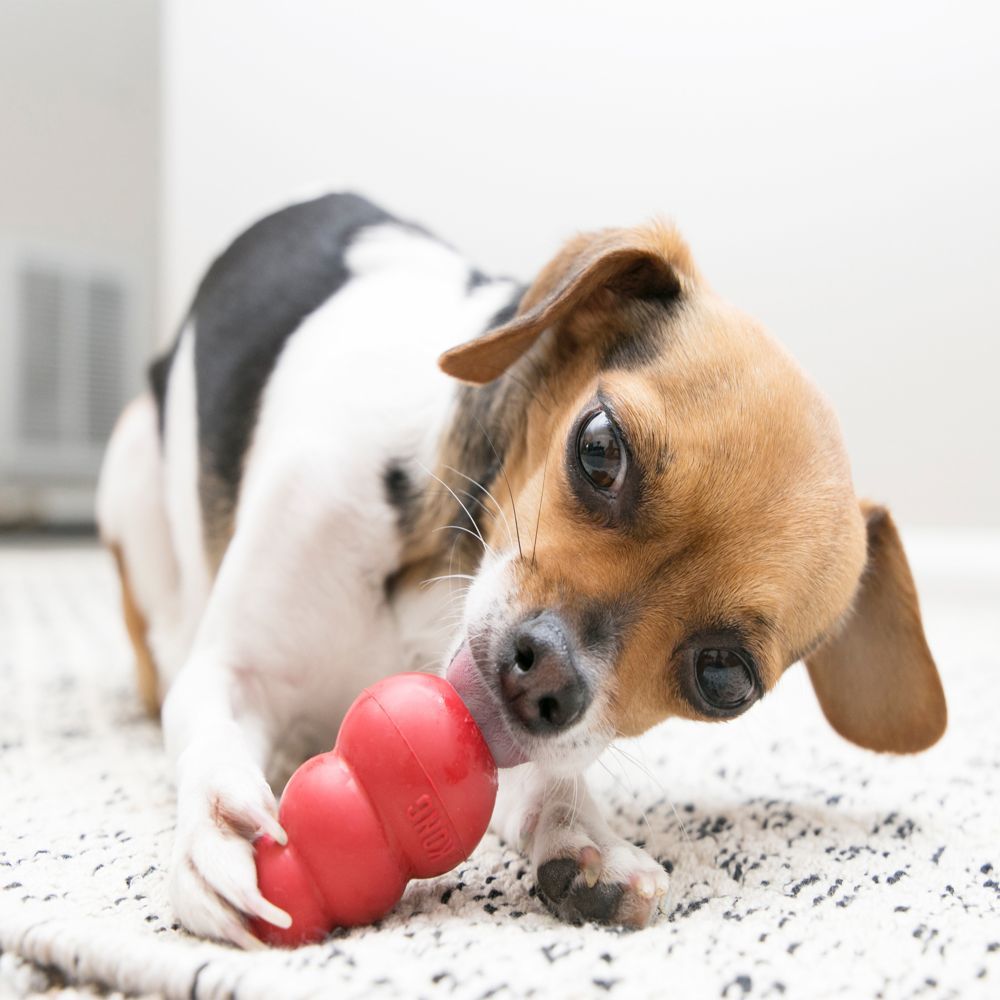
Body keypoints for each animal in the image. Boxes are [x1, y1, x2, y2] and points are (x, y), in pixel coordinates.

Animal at [97, 193, 948, 944]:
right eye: (599, 449)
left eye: (723, 678)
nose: (545, 678)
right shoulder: (231, 669)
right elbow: (212, 735)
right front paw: (225, 830)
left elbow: (546, 779)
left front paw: (580, 834)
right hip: (131, 471)